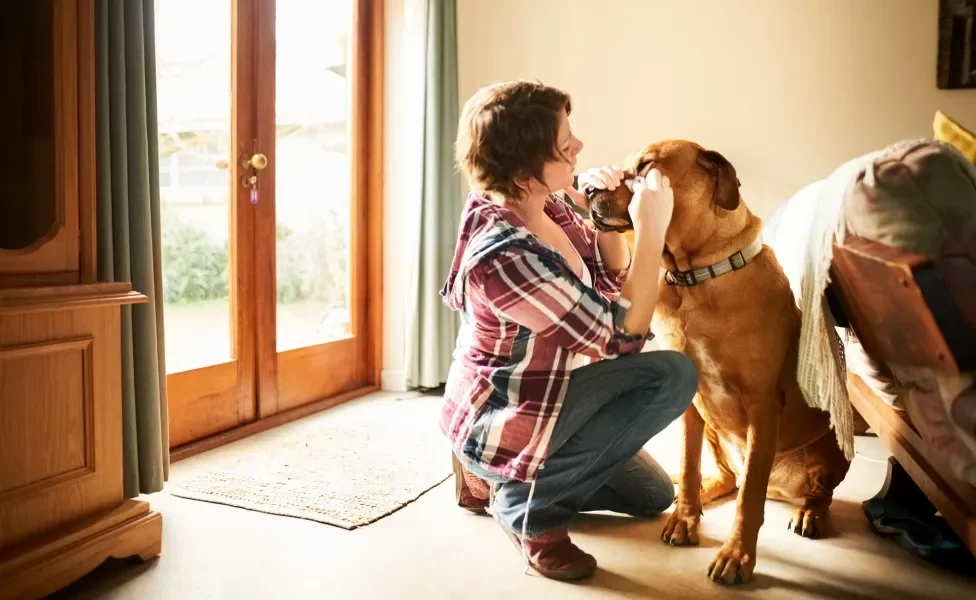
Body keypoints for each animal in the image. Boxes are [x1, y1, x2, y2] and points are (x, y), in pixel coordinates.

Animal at [584, 139, 852, 580]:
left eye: (647, 165)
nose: (587, 188)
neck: (697, 277)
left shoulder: (762, 403)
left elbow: (750, 498)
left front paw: (737, 556)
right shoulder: (691, 401)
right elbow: (689, 461)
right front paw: (685, 517)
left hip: (826, 451)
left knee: (810, 492)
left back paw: (809, 514)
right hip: (715, 430)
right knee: (726, 477)